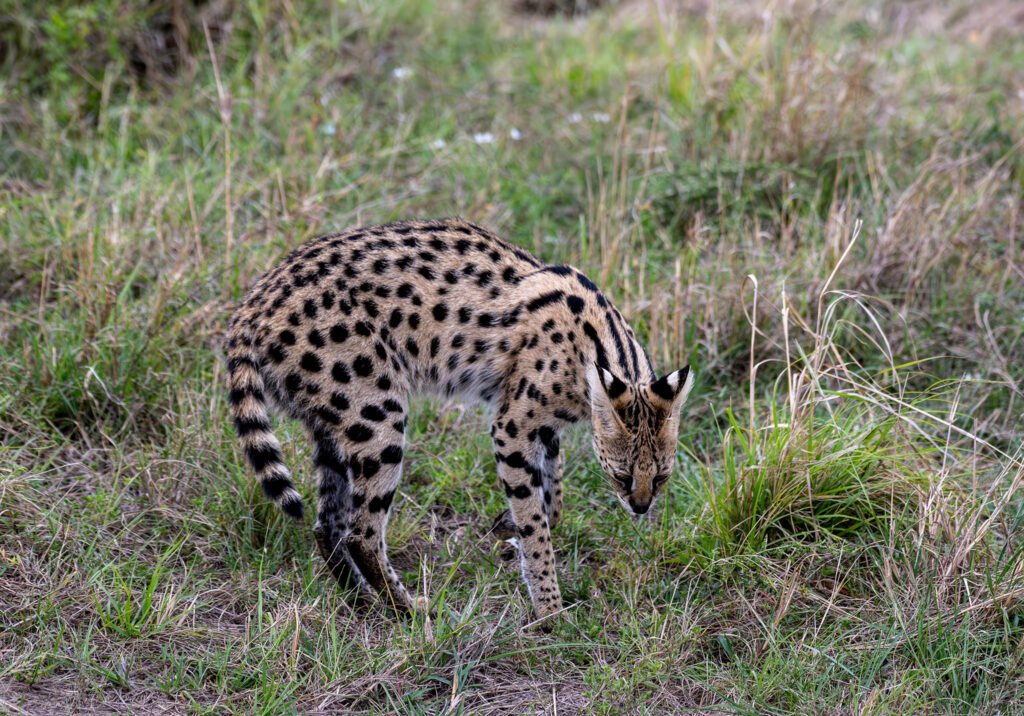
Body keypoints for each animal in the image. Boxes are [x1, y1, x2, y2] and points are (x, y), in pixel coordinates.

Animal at [226, 218, 696, 622]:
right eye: (621, 476)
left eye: (661, 477)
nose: (640, 508)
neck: (593, 352)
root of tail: (253, 302)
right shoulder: (512, 426)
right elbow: (535, 520)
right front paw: (548, 605)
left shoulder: (541, 426)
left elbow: (553, 494)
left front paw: (516, 530)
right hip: (377, 415)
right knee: (361, 532)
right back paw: (408, 608)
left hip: (333, 425)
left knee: (328, 526)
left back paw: (363, 600)